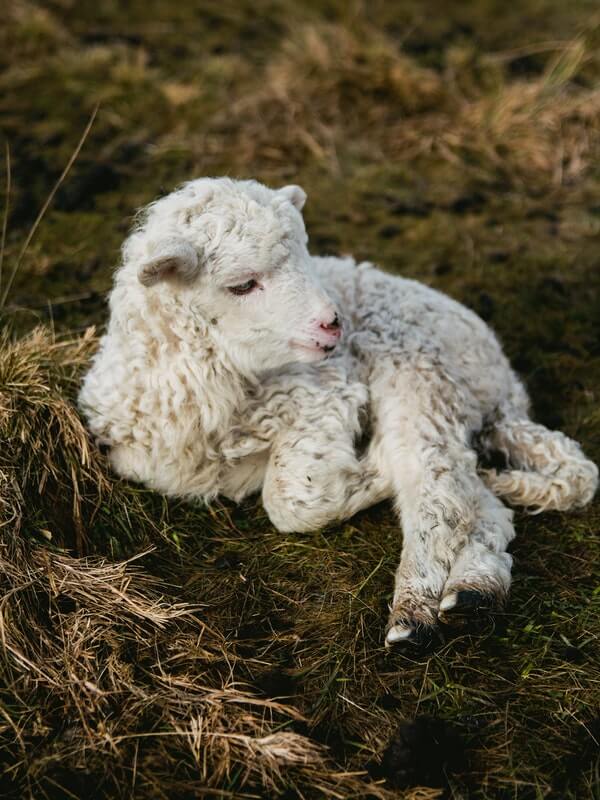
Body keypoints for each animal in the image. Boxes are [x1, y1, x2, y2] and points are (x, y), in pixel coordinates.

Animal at [79, 177, 599, 647]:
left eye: (307, 257)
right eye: (242, 285)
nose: (332, 323)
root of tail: (504, 389)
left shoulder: (325, 393)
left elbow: (290, 501)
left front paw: (373, 468)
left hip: (420, 369)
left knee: (437, 486)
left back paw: (414, 615)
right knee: (480, 502)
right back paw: (474, 592)